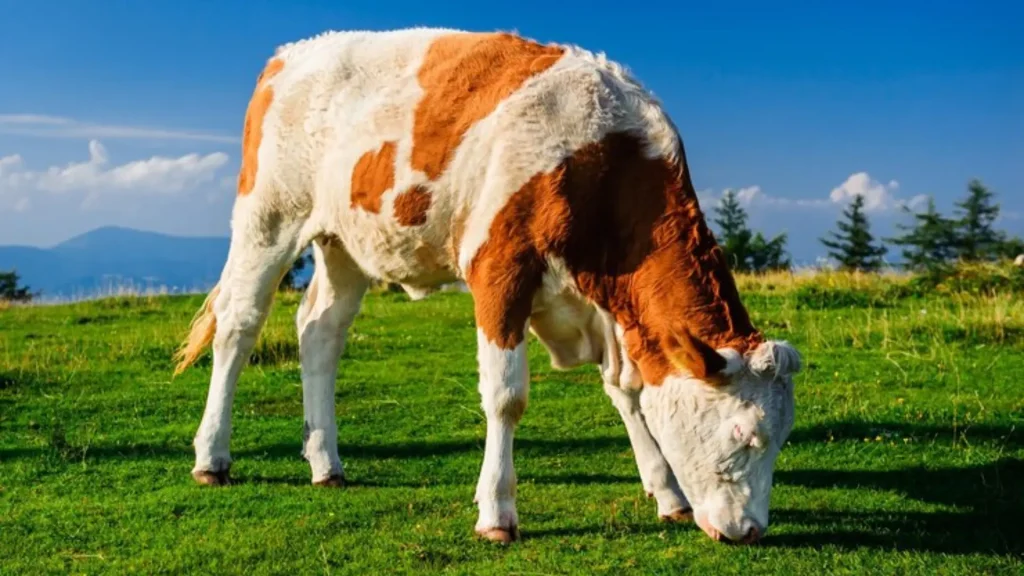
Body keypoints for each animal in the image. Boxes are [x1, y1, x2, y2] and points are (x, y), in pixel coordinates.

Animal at [172, 27, 802, 546]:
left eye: (782, 437)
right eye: (746, 435)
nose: (750, 531)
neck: (599, 154)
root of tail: (292, 53)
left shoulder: (611, 304)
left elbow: (627, 389)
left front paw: (665, 491)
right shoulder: (501, 267)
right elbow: (506, 397)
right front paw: (497, 513)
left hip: (344, 241)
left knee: (319, 335)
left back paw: (326, 462)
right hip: (268, 217)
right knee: (238, 328)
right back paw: (212, 457)